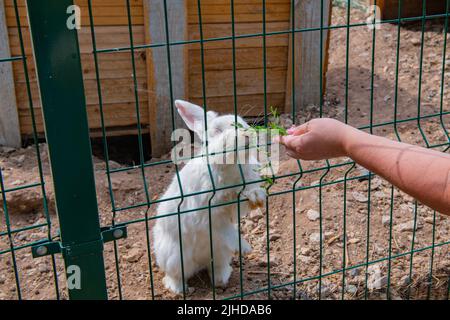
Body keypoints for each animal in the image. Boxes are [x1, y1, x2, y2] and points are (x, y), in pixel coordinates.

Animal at [155, 100, 268, 296]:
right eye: (217, 130)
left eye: (242, 123)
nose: (246, 135)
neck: (230, 166)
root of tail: (199, 262)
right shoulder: (208, 211)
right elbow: (224, 225)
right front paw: (245, 247)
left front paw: (257, 197)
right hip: (173, 256)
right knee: (175, 275)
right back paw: (179, 289)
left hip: (220, 252)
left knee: (216, 267)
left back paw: (221, 280)